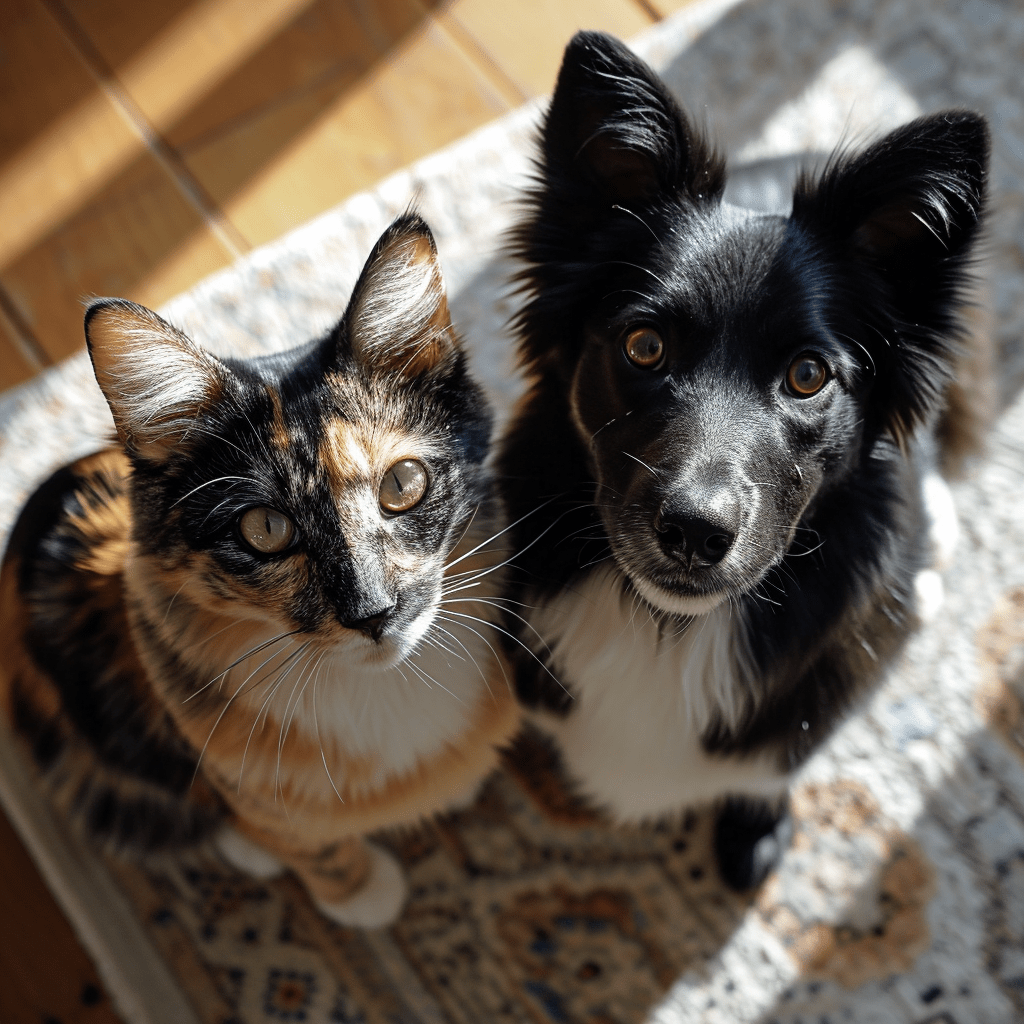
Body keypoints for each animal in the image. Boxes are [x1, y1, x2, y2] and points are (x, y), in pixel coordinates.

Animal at [497, 28, 991, 884]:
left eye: (808, 375)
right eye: (644, 346)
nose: (695, 533)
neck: (667, 627)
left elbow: (767, 770)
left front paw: (756, 827)